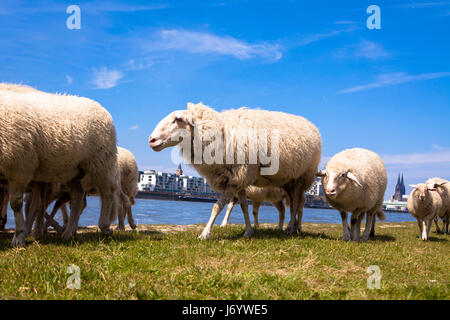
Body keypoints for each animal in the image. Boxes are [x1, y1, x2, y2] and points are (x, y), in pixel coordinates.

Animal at [0, 84, 118, 246]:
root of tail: (100, 107)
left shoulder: (20, 169)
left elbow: (16, 203)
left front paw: (19, 237)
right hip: (72, 169)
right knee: (77, 196)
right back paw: (69, 232)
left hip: (101, 161)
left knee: (107, 192)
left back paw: (104, 226)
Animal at [149, 101, 322, 239]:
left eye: (178, 119)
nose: (151, 140)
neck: (221, 134)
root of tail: (312, 125)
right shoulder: (238, 178)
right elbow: (244, 206)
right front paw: (248, 232)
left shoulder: (236, 179)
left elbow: (217, 207)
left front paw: (205, 234)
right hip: (288, 181)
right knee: (293, 204)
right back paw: (293, 227)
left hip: (302, 177)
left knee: (297, 204)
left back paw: (291, 228)